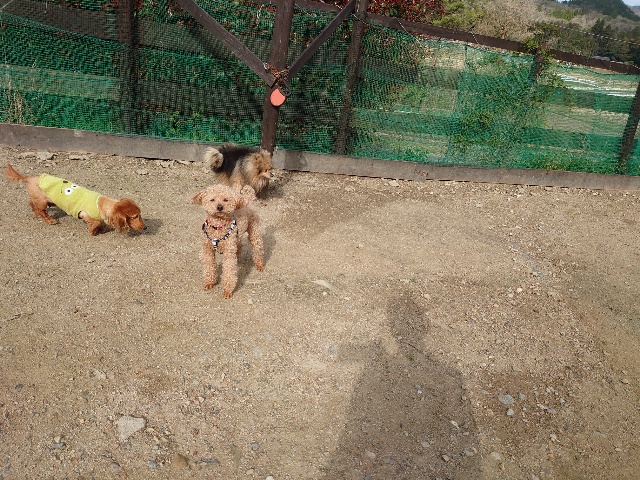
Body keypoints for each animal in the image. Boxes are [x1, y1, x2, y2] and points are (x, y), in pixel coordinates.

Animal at [5, 164, 145, 236]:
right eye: (135, 216)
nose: (145, 228)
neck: (102, 204)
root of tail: (29, 178)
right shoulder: (84, 214)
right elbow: (96, 222)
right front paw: (94, 231)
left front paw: (100, 229)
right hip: (43, 201)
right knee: (41, 210)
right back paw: (50, 220)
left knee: (32, 203)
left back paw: (35, 213)